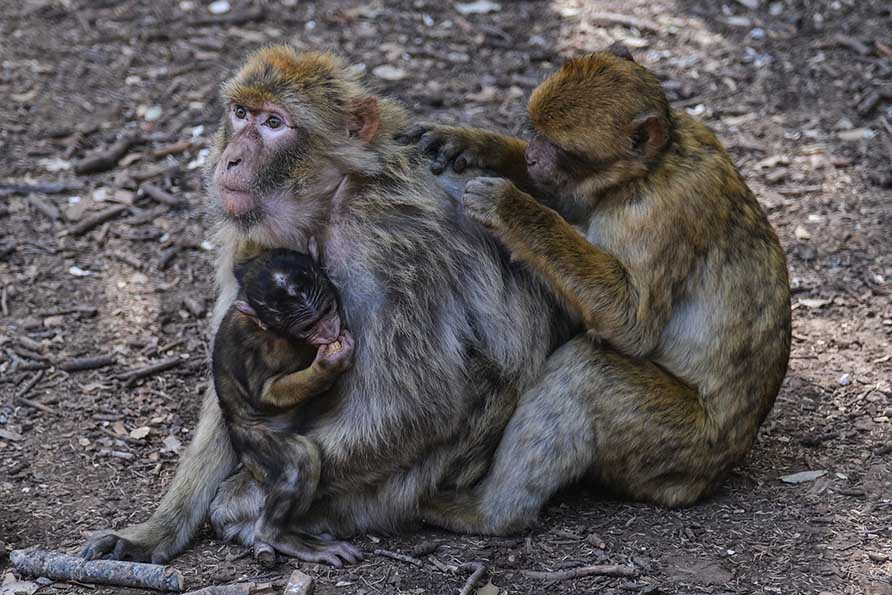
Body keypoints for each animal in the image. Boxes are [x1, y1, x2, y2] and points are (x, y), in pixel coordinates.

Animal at [212, 247, 356, 567]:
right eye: (308, 326)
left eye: (327, 310)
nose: (330, 330)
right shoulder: (257, 349)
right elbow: (265, 395)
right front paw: (327, 366)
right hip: (252, 441)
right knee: (299, 461)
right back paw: (275, 535)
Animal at [398, 43, 792, 533]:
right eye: (535, 132)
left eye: (563, 147)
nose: (533, 156)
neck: (650, 167)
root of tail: (714, 473)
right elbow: (566, 202)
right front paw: (474, 144)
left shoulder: (655, 214)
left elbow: (632, 324)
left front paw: (511, 207)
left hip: (677, 445)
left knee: (588, 373)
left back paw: (493, 512)